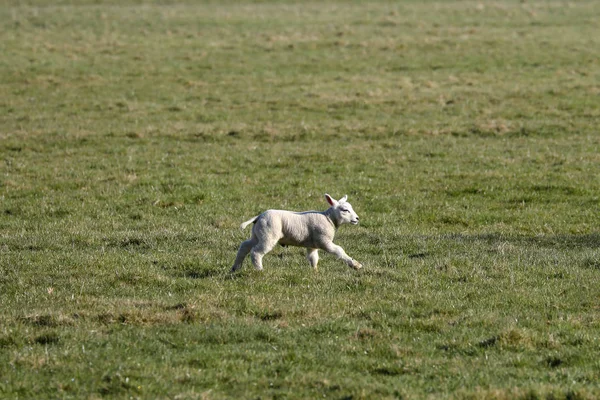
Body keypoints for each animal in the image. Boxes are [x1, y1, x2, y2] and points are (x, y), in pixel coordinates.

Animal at [230, 194, 360, 272]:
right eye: (345, 210)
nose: (357, 218)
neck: (329, 218)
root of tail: (258, 216)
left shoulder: (313, 245)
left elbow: (313, 258)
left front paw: (315, 272)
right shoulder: (324, 241)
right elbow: (339, 250)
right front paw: (355, 264)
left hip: (257, 234)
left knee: (244, 246)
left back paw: (235, 268)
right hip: (268, 235)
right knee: (256, 252)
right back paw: (260, 270)